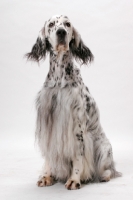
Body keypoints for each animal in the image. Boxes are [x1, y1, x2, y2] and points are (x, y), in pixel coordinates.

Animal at [25, 14, 121, 190]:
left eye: (67, 24)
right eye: (51, 24)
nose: (61, 32)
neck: (59, 79)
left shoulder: (77, 125)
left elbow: (78, 156)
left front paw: (74, 180)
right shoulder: (49, 122)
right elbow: (49, 154)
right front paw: (46, 177)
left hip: (103, 147)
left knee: (110, 169)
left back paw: (104, 176)